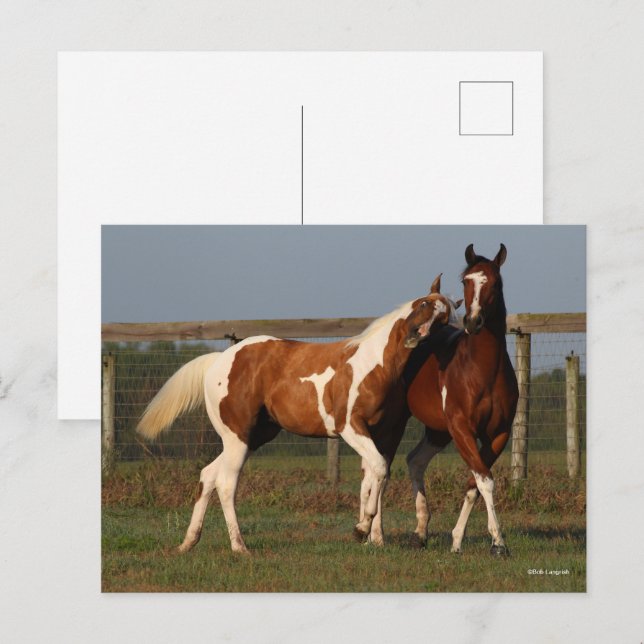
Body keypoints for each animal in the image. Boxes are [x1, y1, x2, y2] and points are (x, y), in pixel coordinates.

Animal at [136, 277, 451, 553]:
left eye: (444, 320)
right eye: (423, 304)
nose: (416, 336)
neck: (374, 365)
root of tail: (219, 361)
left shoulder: (387, 434)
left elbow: (376, 476)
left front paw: (374, 538)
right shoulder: (349, 427)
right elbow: (378, 470)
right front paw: (362, 529)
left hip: (253, 437)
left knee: (209, 475)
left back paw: (189, 542)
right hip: (238, 437)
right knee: (226, 483)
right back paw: (239, 547)